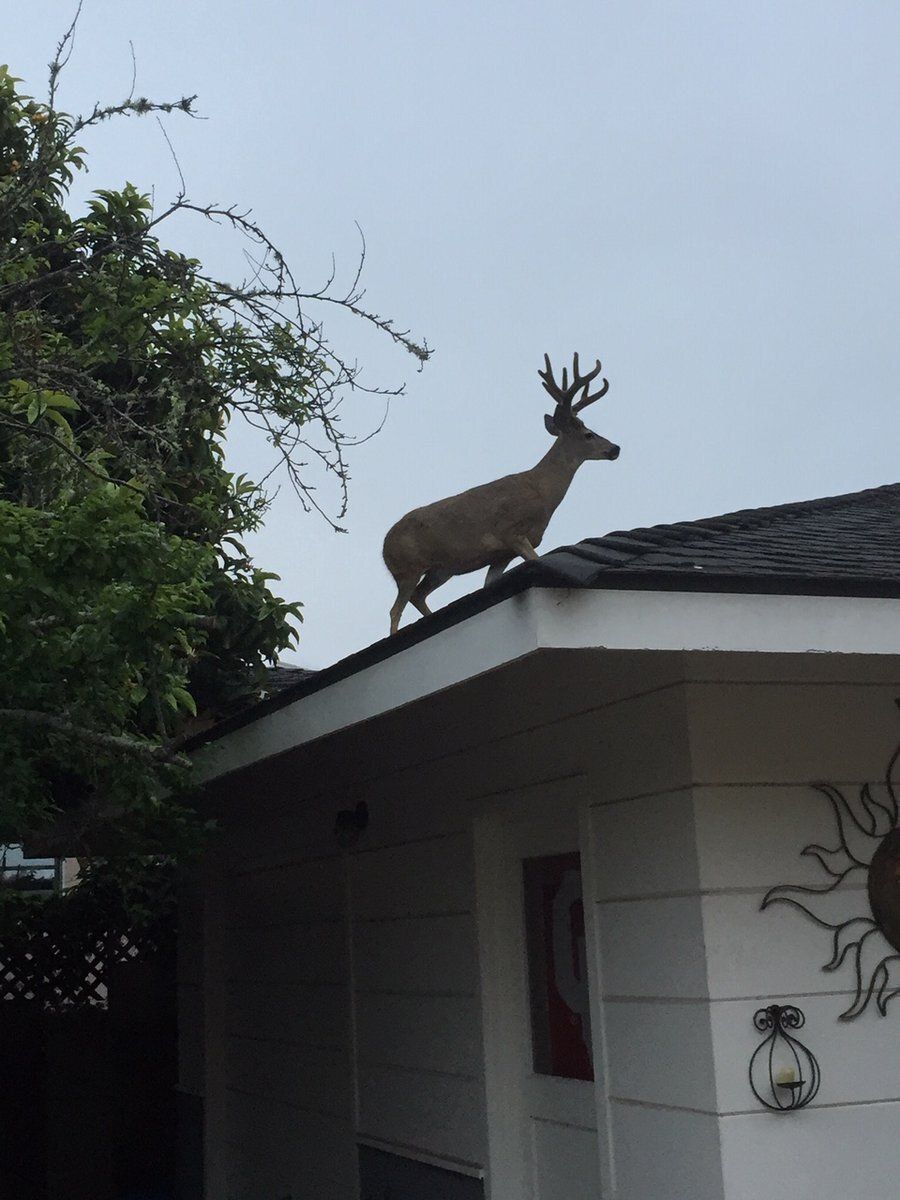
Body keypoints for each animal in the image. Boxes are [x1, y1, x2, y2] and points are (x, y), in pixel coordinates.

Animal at [383, 352, 620, 635]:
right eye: (588, 434)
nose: (615, 448)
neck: (542, 492)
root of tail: (384, 547)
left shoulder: (501, 554)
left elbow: (489, 584)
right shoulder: (511, 531)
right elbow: (534, 556)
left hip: (442, 569)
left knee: (418, 596)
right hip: (408, 567)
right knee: (395, 609)